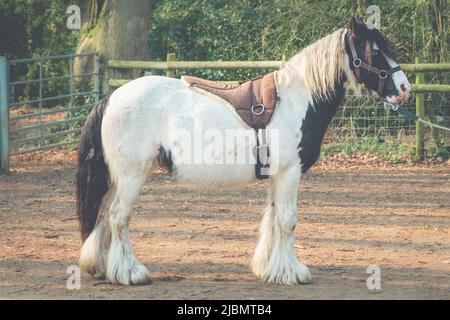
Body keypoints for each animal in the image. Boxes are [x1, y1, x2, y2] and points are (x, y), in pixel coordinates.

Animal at [76, 17, 412, 284]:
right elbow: (287, 220)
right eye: (375, 51)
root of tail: (111, 98)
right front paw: (293, 273)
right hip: (132, 174)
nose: (404, 89)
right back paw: (129, 273)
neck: (296, 101)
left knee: (103, 214)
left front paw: (271, 269)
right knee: (118, 216)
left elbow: (273, 218)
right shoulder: (290, 173)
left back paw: (100, 267)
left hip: (115, 177)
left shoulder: (278, 176)